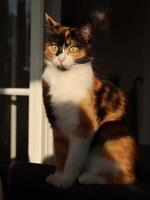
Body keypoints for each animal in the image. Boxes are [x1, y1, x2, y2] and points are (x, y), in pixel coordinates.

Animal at [42, 13, 137, 188]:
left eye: (73, 49)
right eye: (54, 47)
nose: (61, 59)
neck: (64, 78)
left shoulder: (84, 128)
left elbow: (73, 159)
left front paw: (66, 181)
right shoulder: (57, 126)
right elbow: (60, 153)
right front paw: (58, 176)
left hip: (108, 129)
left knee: (127, 178)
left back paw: (89, 177)